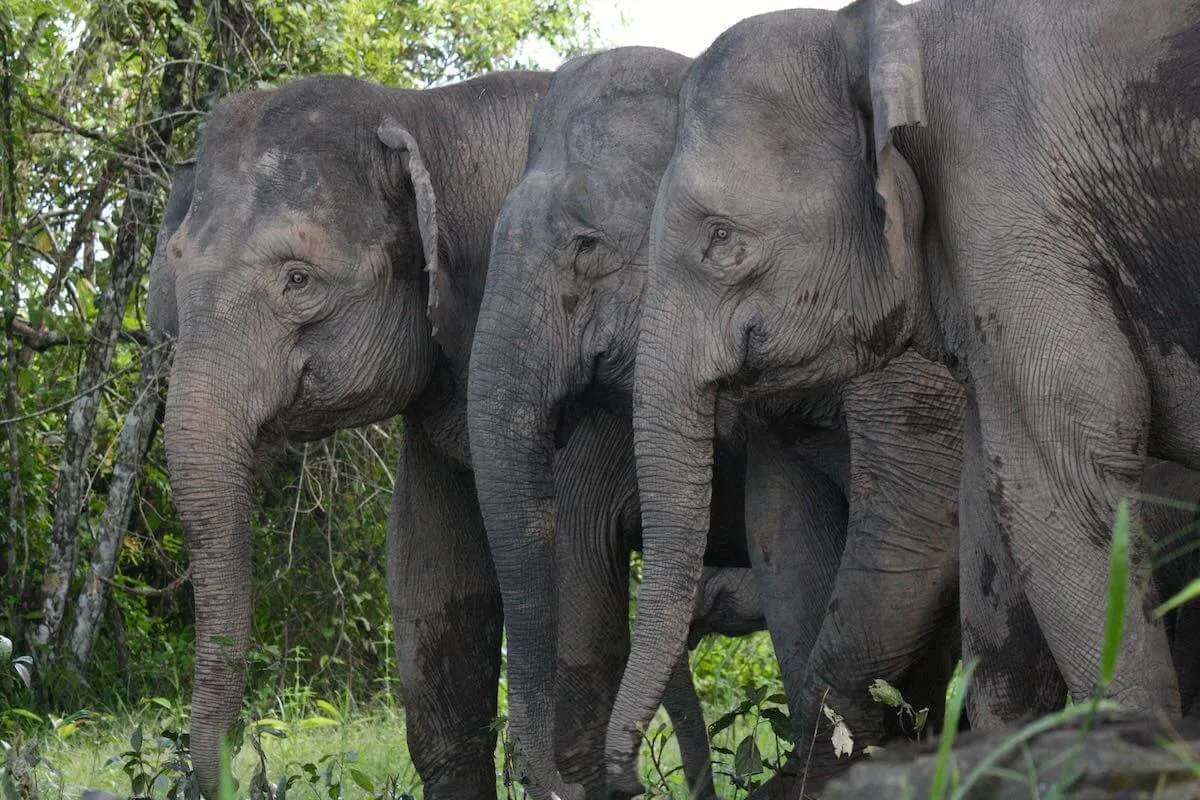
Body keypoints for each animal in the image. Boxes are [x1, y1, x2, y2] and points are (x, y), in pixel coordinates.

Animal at [620, 0, 1200, 786]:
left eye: (720, 238)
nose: (616, 776)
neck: (886, 35)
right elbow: (993, 505)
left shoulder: (1014, 217)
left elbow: (1068, 469)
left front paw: (1131, 750)